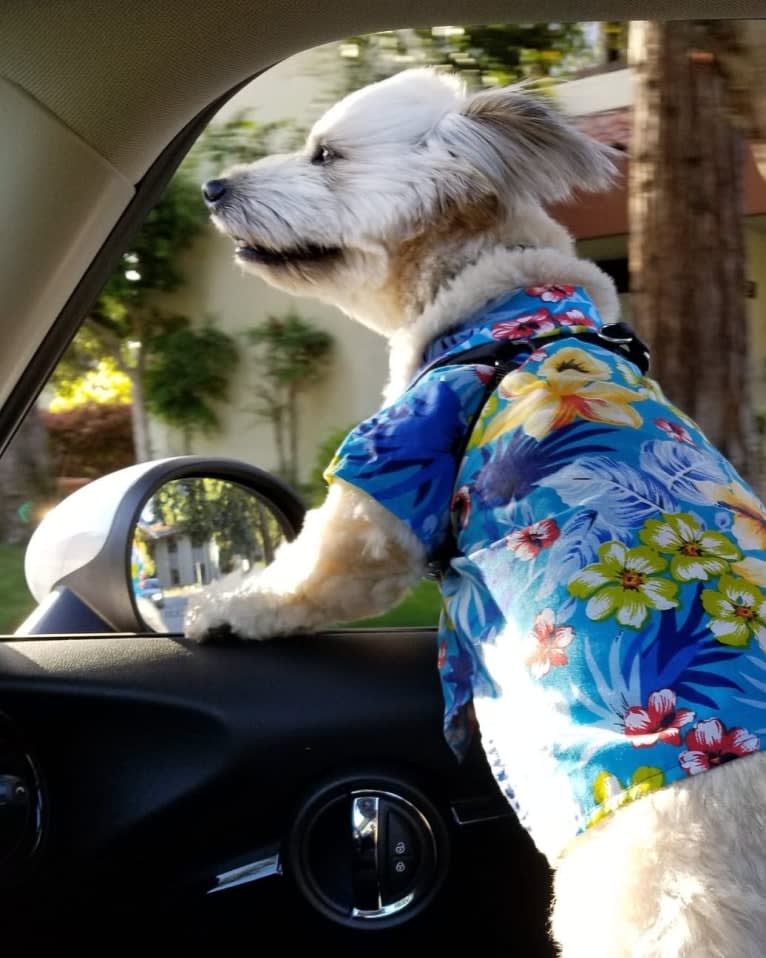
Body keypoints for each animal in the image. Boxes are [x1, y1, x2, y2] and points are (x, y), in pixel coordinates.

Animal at [189, 69, 766, 958]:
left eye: (325, 155)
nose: (212, 187)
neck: (504, 307)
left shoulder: (392, 476)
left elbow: (307, 575)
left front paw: (218, 604)